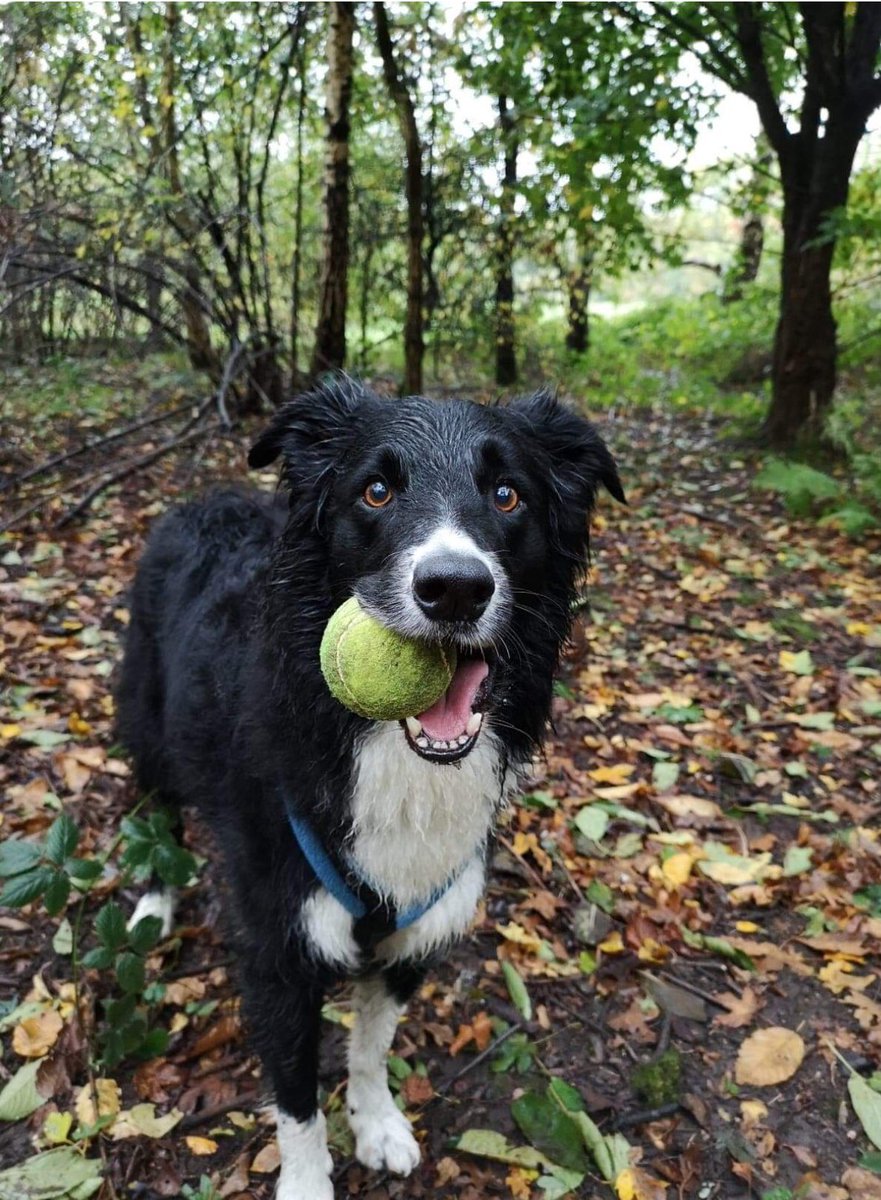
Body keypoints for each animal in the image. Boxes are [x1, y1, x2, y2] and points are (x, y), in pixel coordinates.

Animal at [117, 381, 624, 1200]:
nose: (454, 589)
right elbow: (295, 1095)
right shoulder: (279, 952)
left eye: (507, 494)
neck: (387, 754)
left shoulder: (411, 937)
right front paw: (306, 1182)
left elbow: (369, 1046)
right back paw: (154, 904)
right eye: (376, 491)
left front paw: (377, 1122)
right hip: (149, 725)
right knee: (155, 811)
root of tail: (207, 498)